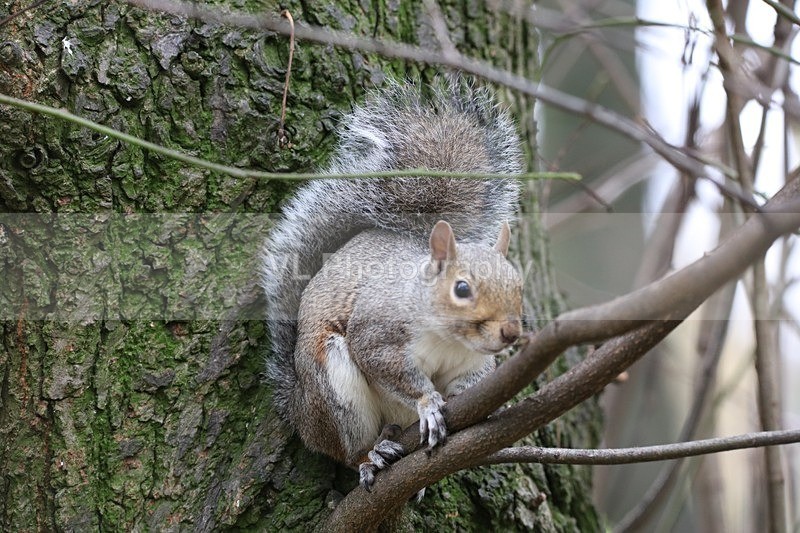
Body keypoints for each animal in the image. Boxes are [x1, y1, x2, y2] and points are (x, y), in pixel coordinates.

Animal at [261, 76, 524, 490]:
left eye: (518, 284)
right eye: (462, 289)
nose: (511, 333)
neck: (450, 338)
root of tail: (299, 407)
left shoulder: (473, 360)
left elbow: (471, 379)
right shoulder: (378, 332)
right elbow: (386, 364)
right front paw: (428, 402)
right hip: (332, 390)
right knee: (346, 447)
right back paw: (370, 456)